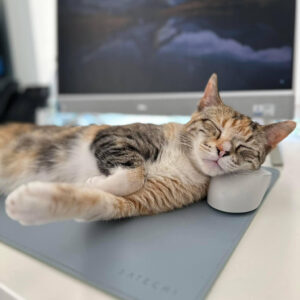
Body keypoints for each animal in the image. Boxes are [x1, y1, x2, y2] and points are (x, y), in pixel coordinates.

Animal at [1, 74, 294, 225]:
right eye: (214, 127)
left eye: (244, 147)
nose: (222, 151)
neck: (184, 162)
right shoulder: (114, 135)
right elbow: (135, 173)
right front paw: (96, 180)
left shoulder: (146, 198)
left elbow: (100, 200)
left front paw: (31, 204)